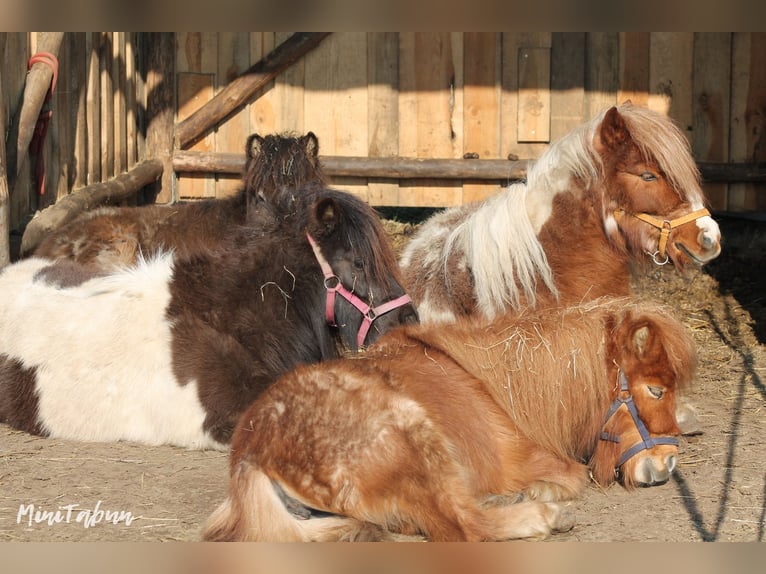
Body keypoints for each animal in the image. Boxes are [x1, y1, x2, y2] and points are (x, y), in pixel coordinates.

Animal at [202, 300, 696, 544]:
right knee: (463, 527)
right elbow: (570, 478)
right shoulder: (537, 462)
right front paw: (540, 494)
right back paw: (541, 516)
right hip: (413, 435)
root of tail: (252, 452)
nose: (668, 464)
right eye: (655, 389)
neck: (497, 384)